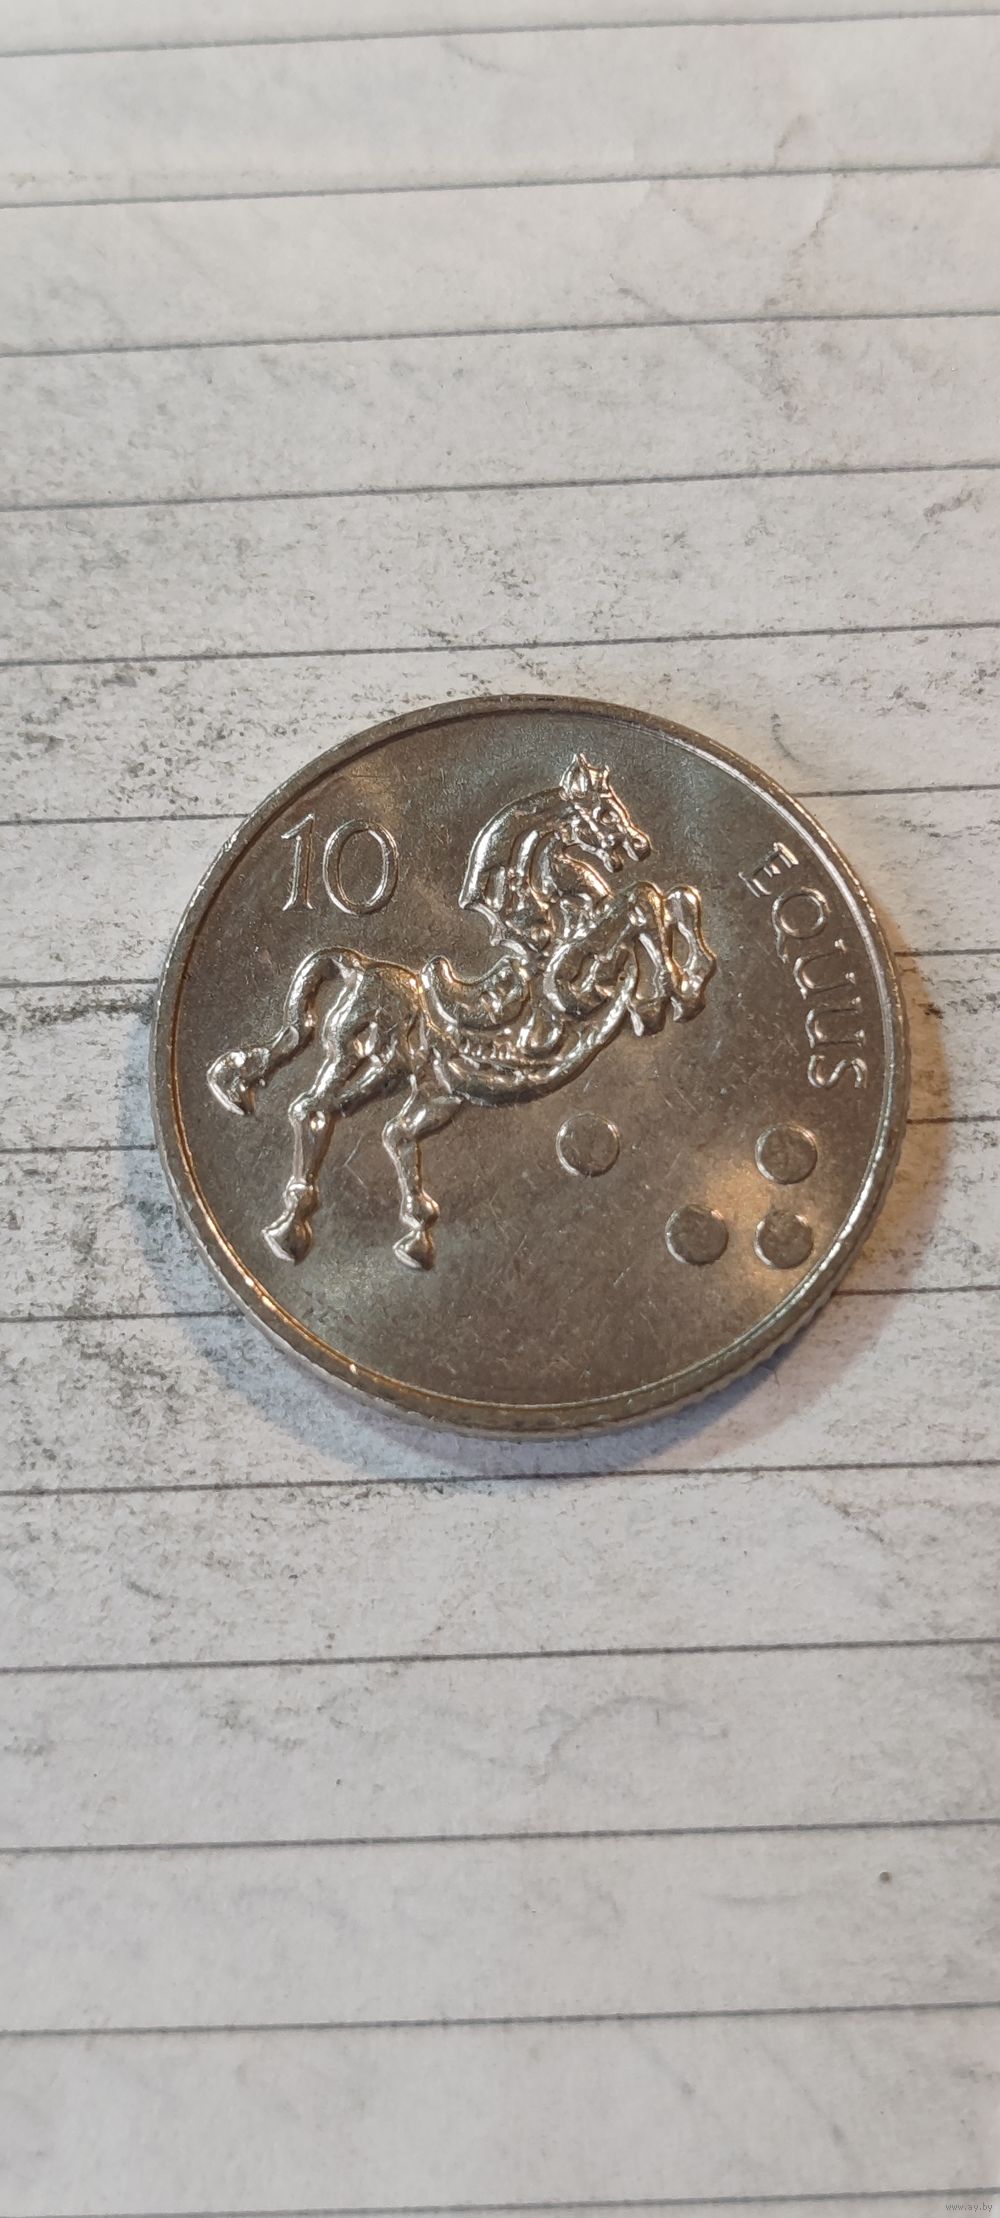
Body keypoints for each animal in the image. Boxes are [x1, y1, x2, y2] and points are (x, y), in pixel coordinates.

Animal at [207, 755, 715, 1270]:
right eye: (606, 812)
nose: (642, 844)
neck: (548, 921)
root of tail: (356, 966)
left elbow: (669, 899)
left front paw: (678, 985)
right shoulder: (568, 995)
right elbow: (642, 902)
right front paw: (674, 988)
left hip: (421, 1087)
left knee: (385, 1130)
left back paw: (408, 1234)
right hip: (359, 1056)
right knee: (313, 1109)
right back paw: (291, 1229)